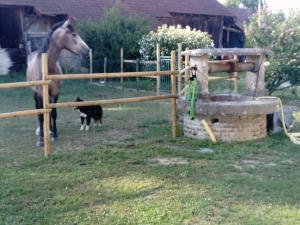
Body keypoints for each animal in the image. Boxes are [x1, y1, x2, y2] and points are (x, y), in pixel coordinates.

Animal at [27, 18, 89, 146]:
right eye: (73, 34)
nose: (87, 50)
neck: (47, 66)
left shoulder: (55, 93)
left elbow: (53, 113)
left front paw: (54, 134)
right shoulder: (40, 94)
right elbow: (41, 115)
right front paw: (41, 140)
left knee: (49, 112)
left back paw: (50, 130)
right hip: (35, 94)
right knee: (39, 111)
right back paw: (41, 131)